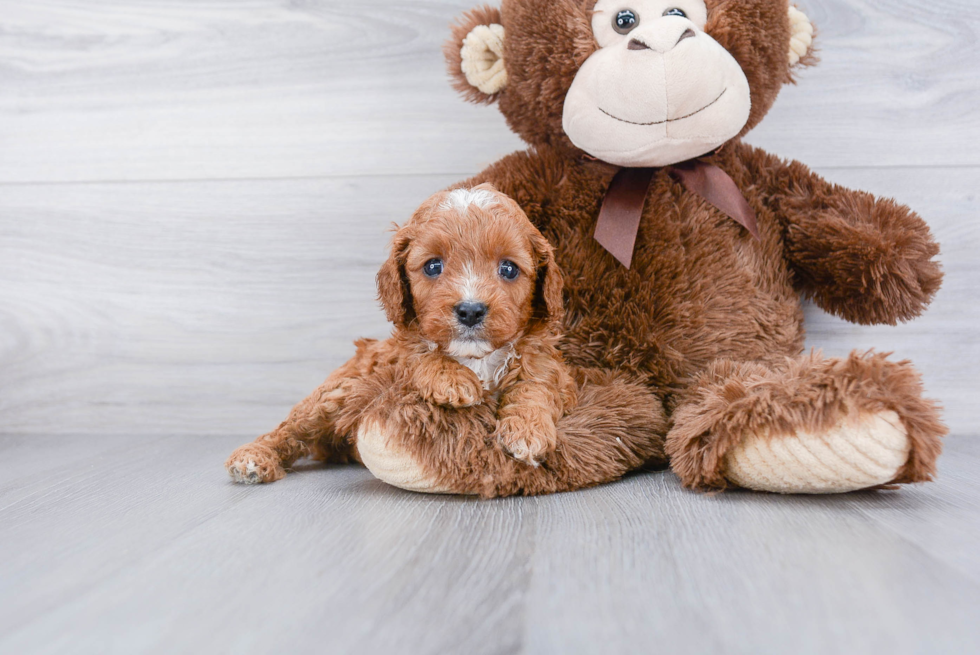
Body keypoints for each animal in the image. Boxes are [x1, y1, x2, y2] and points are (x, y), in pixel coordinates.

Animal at [226, 184, 664, 498]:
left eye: (509, 269)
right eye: (433, 266)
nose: (470, 310)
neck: (477, 358)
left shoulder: (548, 366)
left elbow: (535, 387)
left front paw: (526, 430)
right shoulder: (396, 359)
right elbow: (419, 357)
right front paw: (451, 380)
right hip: (338, 391)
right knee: (291, 429)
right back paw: (253, 459)